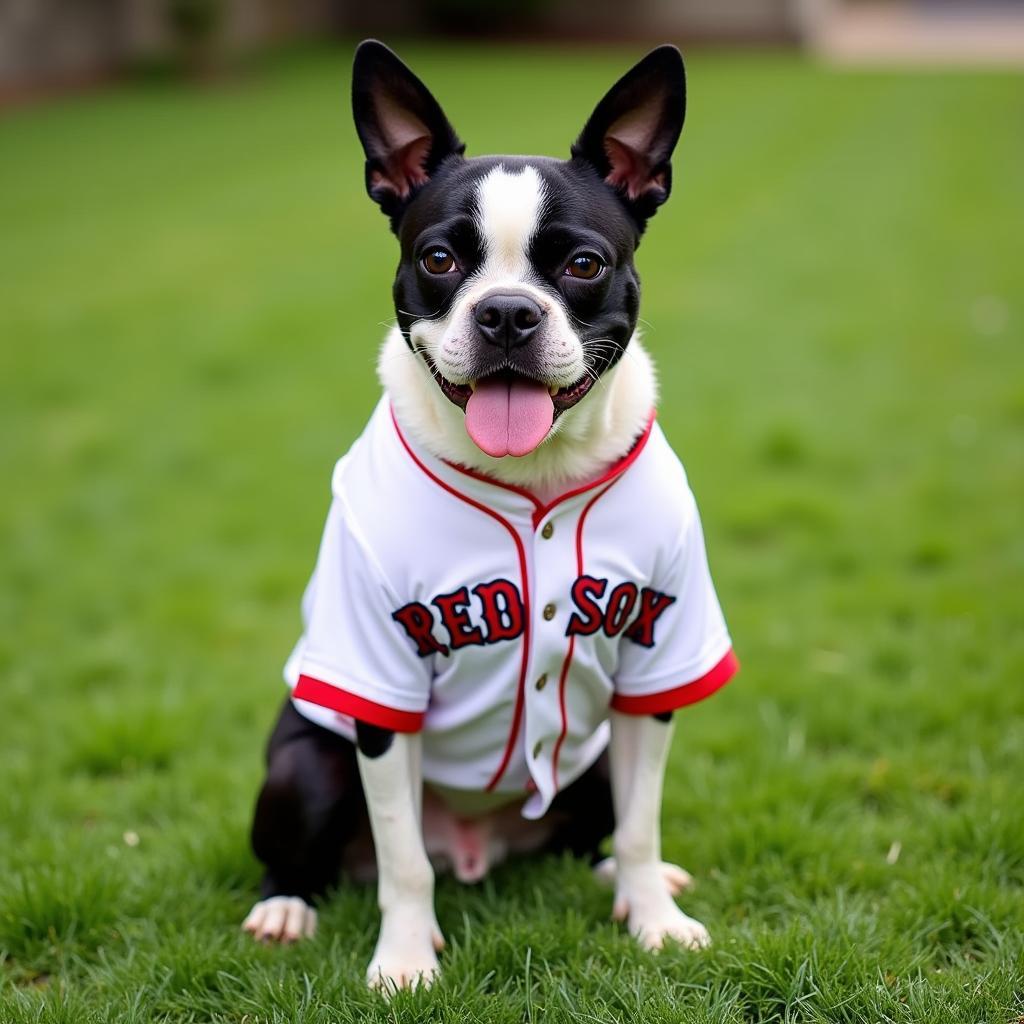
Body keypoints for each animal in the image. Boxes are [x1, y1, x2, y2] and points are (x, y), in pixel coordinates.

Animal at [239, 41, 737, 991]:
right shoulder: (381, 691)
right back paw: (287, 904)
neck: (532, 475)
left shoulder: (655, 664)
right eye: (439, 260)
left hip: (585, 763)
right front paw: (403, 959)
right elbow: (402, 861)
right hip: (308, 766)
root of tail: (477, 847)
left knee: (603, 824)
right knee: (322, 848)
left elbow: (644, 819)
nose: (507, 312)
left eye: (583, 266)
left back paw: (622, 876)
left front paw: (655, 920)